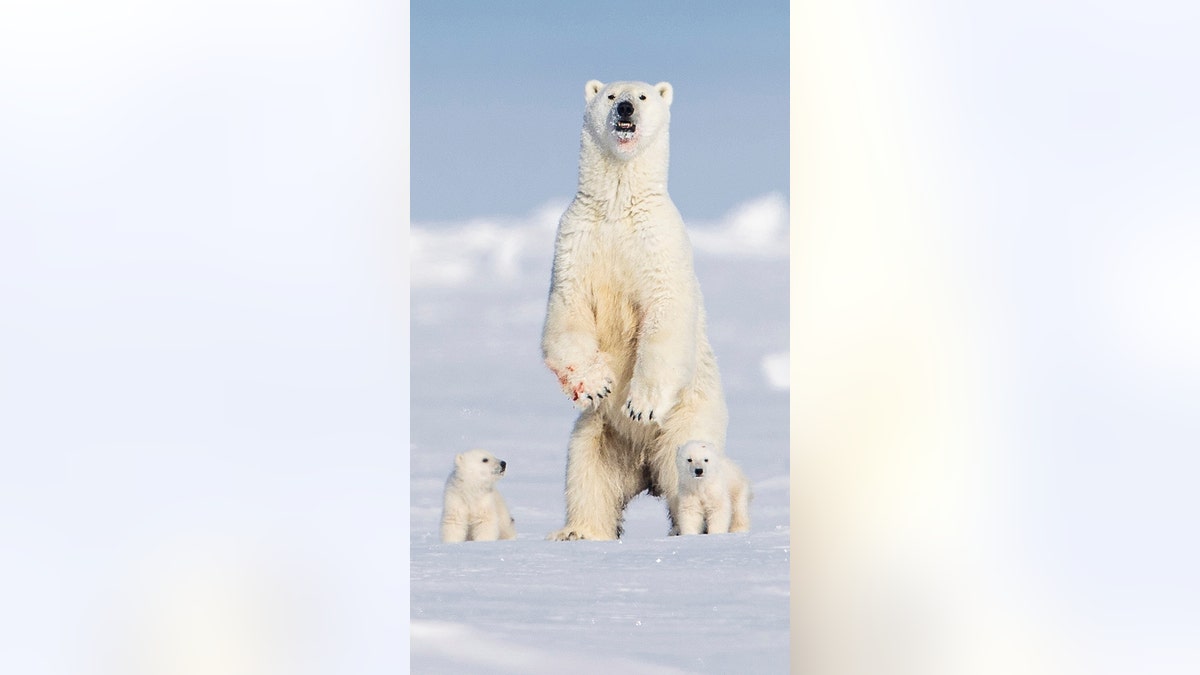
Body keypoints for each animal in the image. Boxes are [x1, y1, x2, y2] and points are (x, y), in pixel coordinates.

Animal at [547, 79, 729, 540]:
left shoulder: (658, 242)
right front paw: (595, 384)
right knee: (587, 475)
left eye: (643, 96)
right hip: (598, 434)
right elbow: (567, 312)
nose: (626, 108)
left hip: (688, 425)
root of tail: (643, 471)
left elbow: (666, 316)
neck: (617, 208)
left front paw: (640, 404)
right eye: (610, 96)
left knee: (683, 473)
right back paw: (578, 531)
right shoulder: (575, 241)